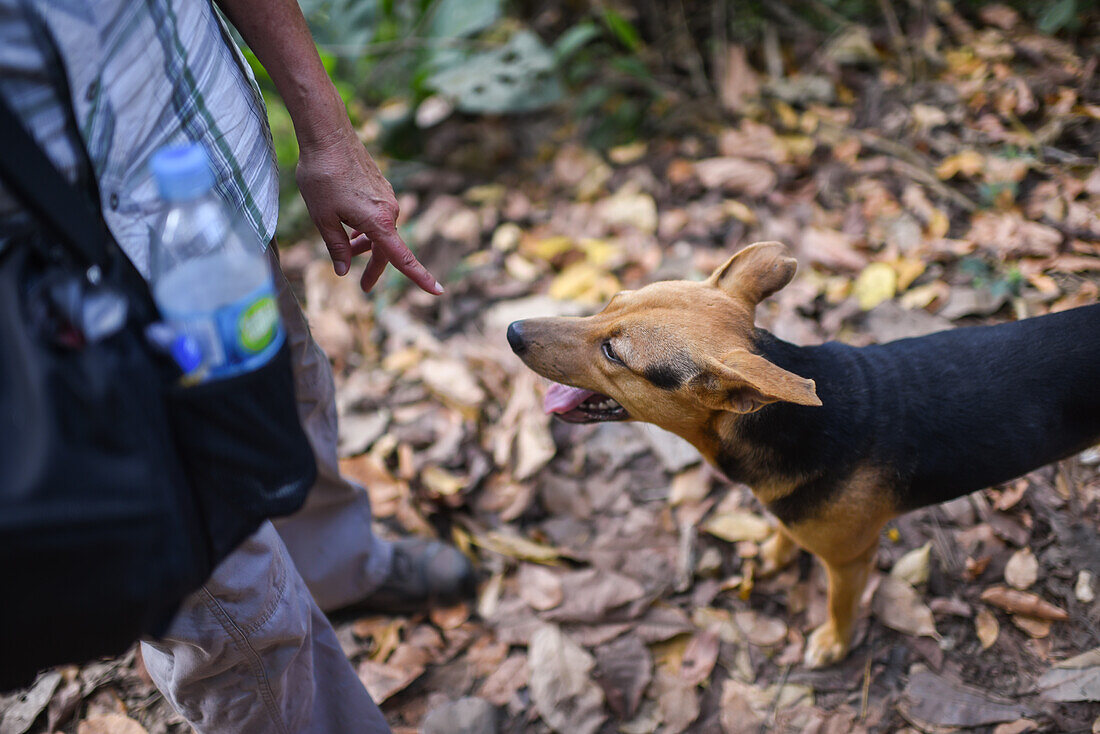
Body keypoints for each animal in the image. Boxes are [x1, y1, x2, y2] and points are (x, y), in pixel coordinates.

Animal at [506, 244, 1100, 669]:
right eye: (610, 301)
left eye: (613, 352)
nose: (512, 330)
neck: (782, 425)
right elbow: (782, 531)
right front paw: (775, 551)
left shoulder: (851, 559)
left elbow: (839, 604)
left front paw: (833, 642)